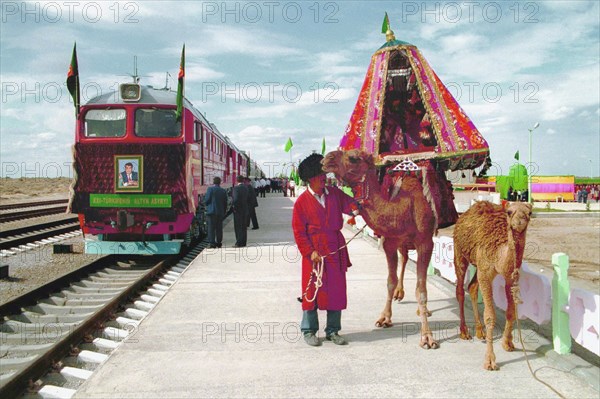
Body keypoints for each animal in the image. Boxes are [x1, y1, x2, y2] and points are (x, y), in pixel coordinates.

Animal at [322, 148, 438, 348]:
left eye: (353, 157)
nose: (325, 159)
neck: (403, 209)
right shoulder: (389, 242)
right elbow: (390, 281)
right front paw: (384, 318)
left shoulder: (425, 242)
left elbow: (421, 290)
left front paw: (427, 337)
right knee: (404, 258)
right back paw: (400, 294)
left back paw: (423, 310)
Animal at [454, 203, 536, 372]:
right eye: (509, 212)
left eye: (530, 212)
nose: (519, 222)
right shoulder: (486, 272)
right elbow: (490, 316)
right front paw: (490, 361)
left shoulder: (510, 276)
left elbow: (511, 311)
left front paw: (507, 343)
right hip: (460, 253)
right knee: (460, 289)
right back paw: (464, 332)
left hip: (477, 263)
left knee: (472, 287)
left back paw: (480, 332)